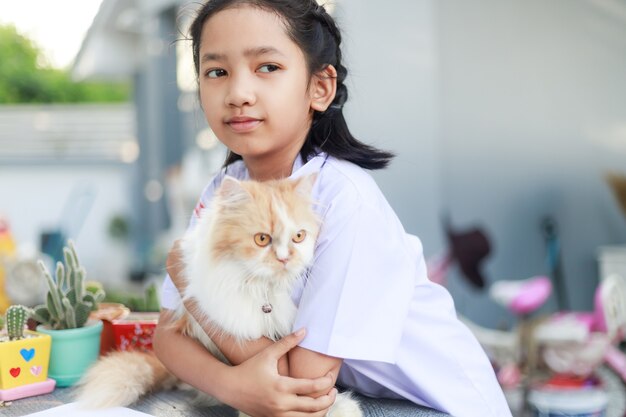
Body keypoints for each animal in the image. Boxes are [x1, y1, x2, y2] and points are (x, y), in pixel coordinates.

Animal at [77, 174, 360, 416]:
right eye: (262, 239)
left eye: (298, 237)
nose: (284, 259)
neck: (262, 288)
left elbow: (314, 390)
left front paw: (338, 407)